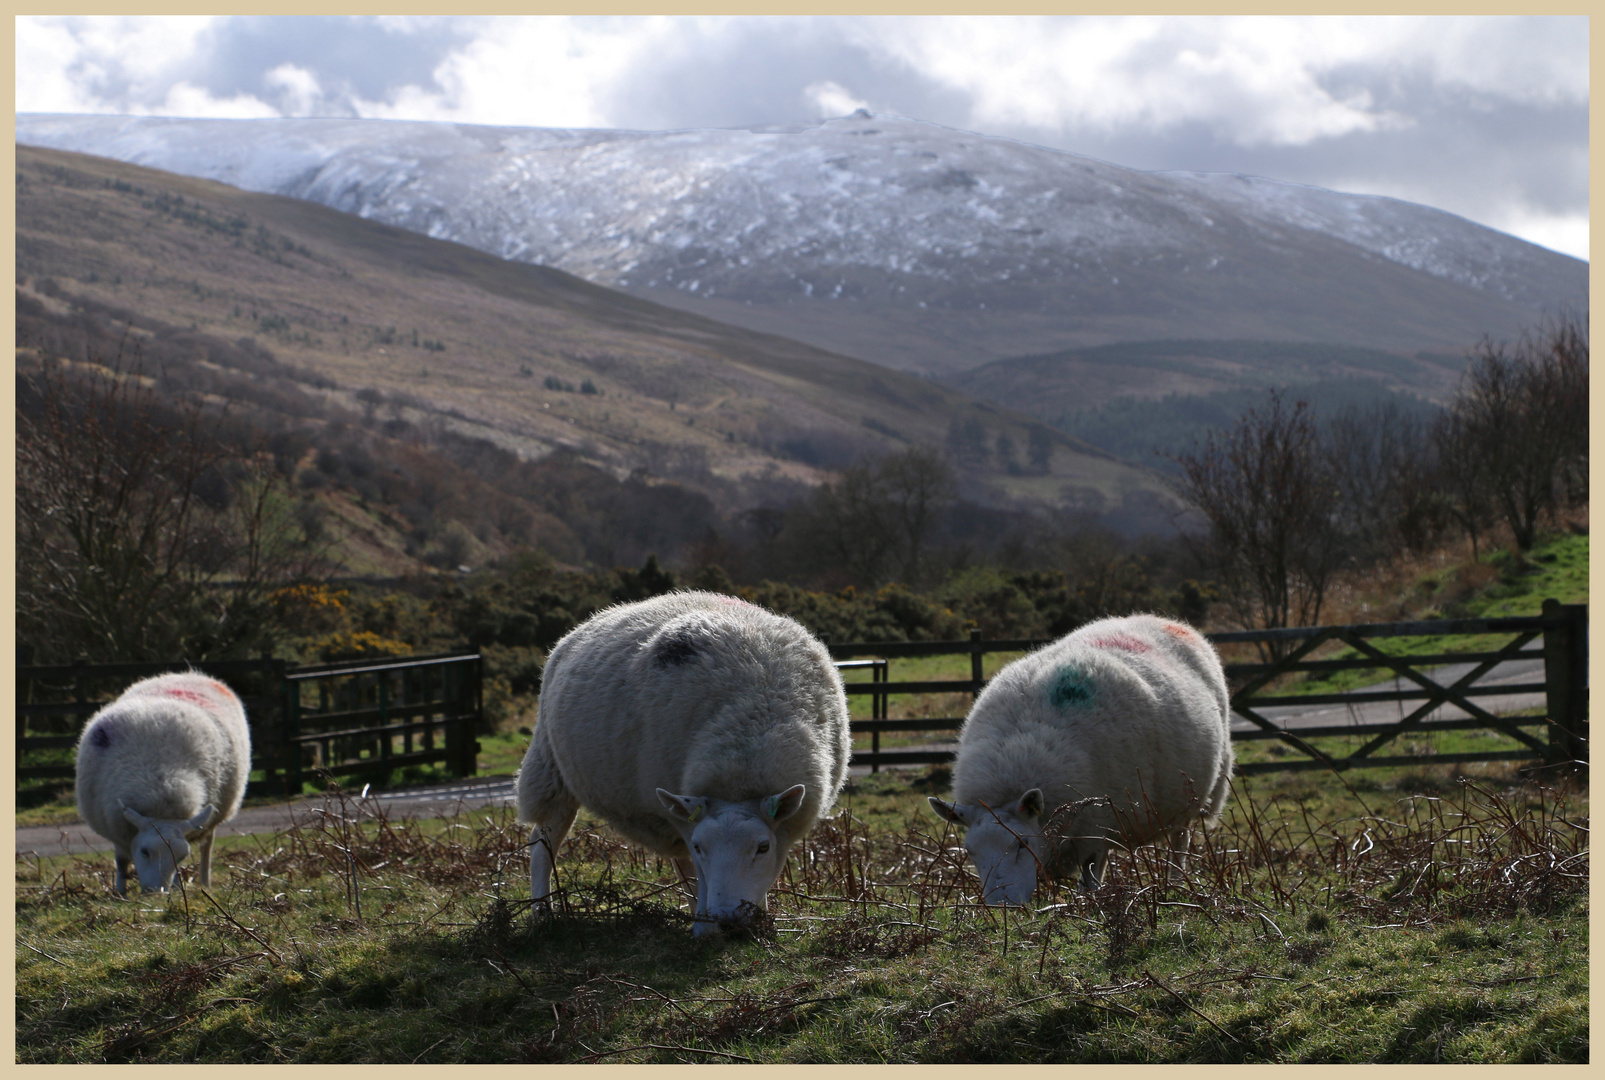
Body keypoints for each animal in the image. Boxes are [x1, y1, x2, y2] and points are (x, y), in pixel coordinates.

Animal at [73, 673, 250, 892]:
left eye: (181, 855)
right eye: (145, 851)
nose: (157, 892)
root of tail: (189, 674)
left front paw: (176, 888)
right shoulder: (115, 825)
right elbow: (121, 862)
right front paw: (120, 892)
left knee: (207, 845)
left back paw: (204, 881)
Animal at [520, 590, 853, 937]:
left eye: (762, 847)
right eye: (701, 846)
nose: (728, 918)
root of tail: (584, 625)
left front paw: (756, 919)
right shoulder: (686, 816)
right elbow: (700, 871)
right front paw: (706, 929)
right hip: (550, 768)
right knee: (544, 839)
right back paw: (542, 911)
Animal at [924, 616, 1232, 898]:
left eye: (1022, 844)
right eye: (970, 851)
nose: (1002, 906)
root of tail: (1167, 620)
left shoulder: (1094, 829)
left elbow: (1090, 881)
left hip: (1187, 801)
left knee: (1179, 843)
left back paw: (1176, 884)